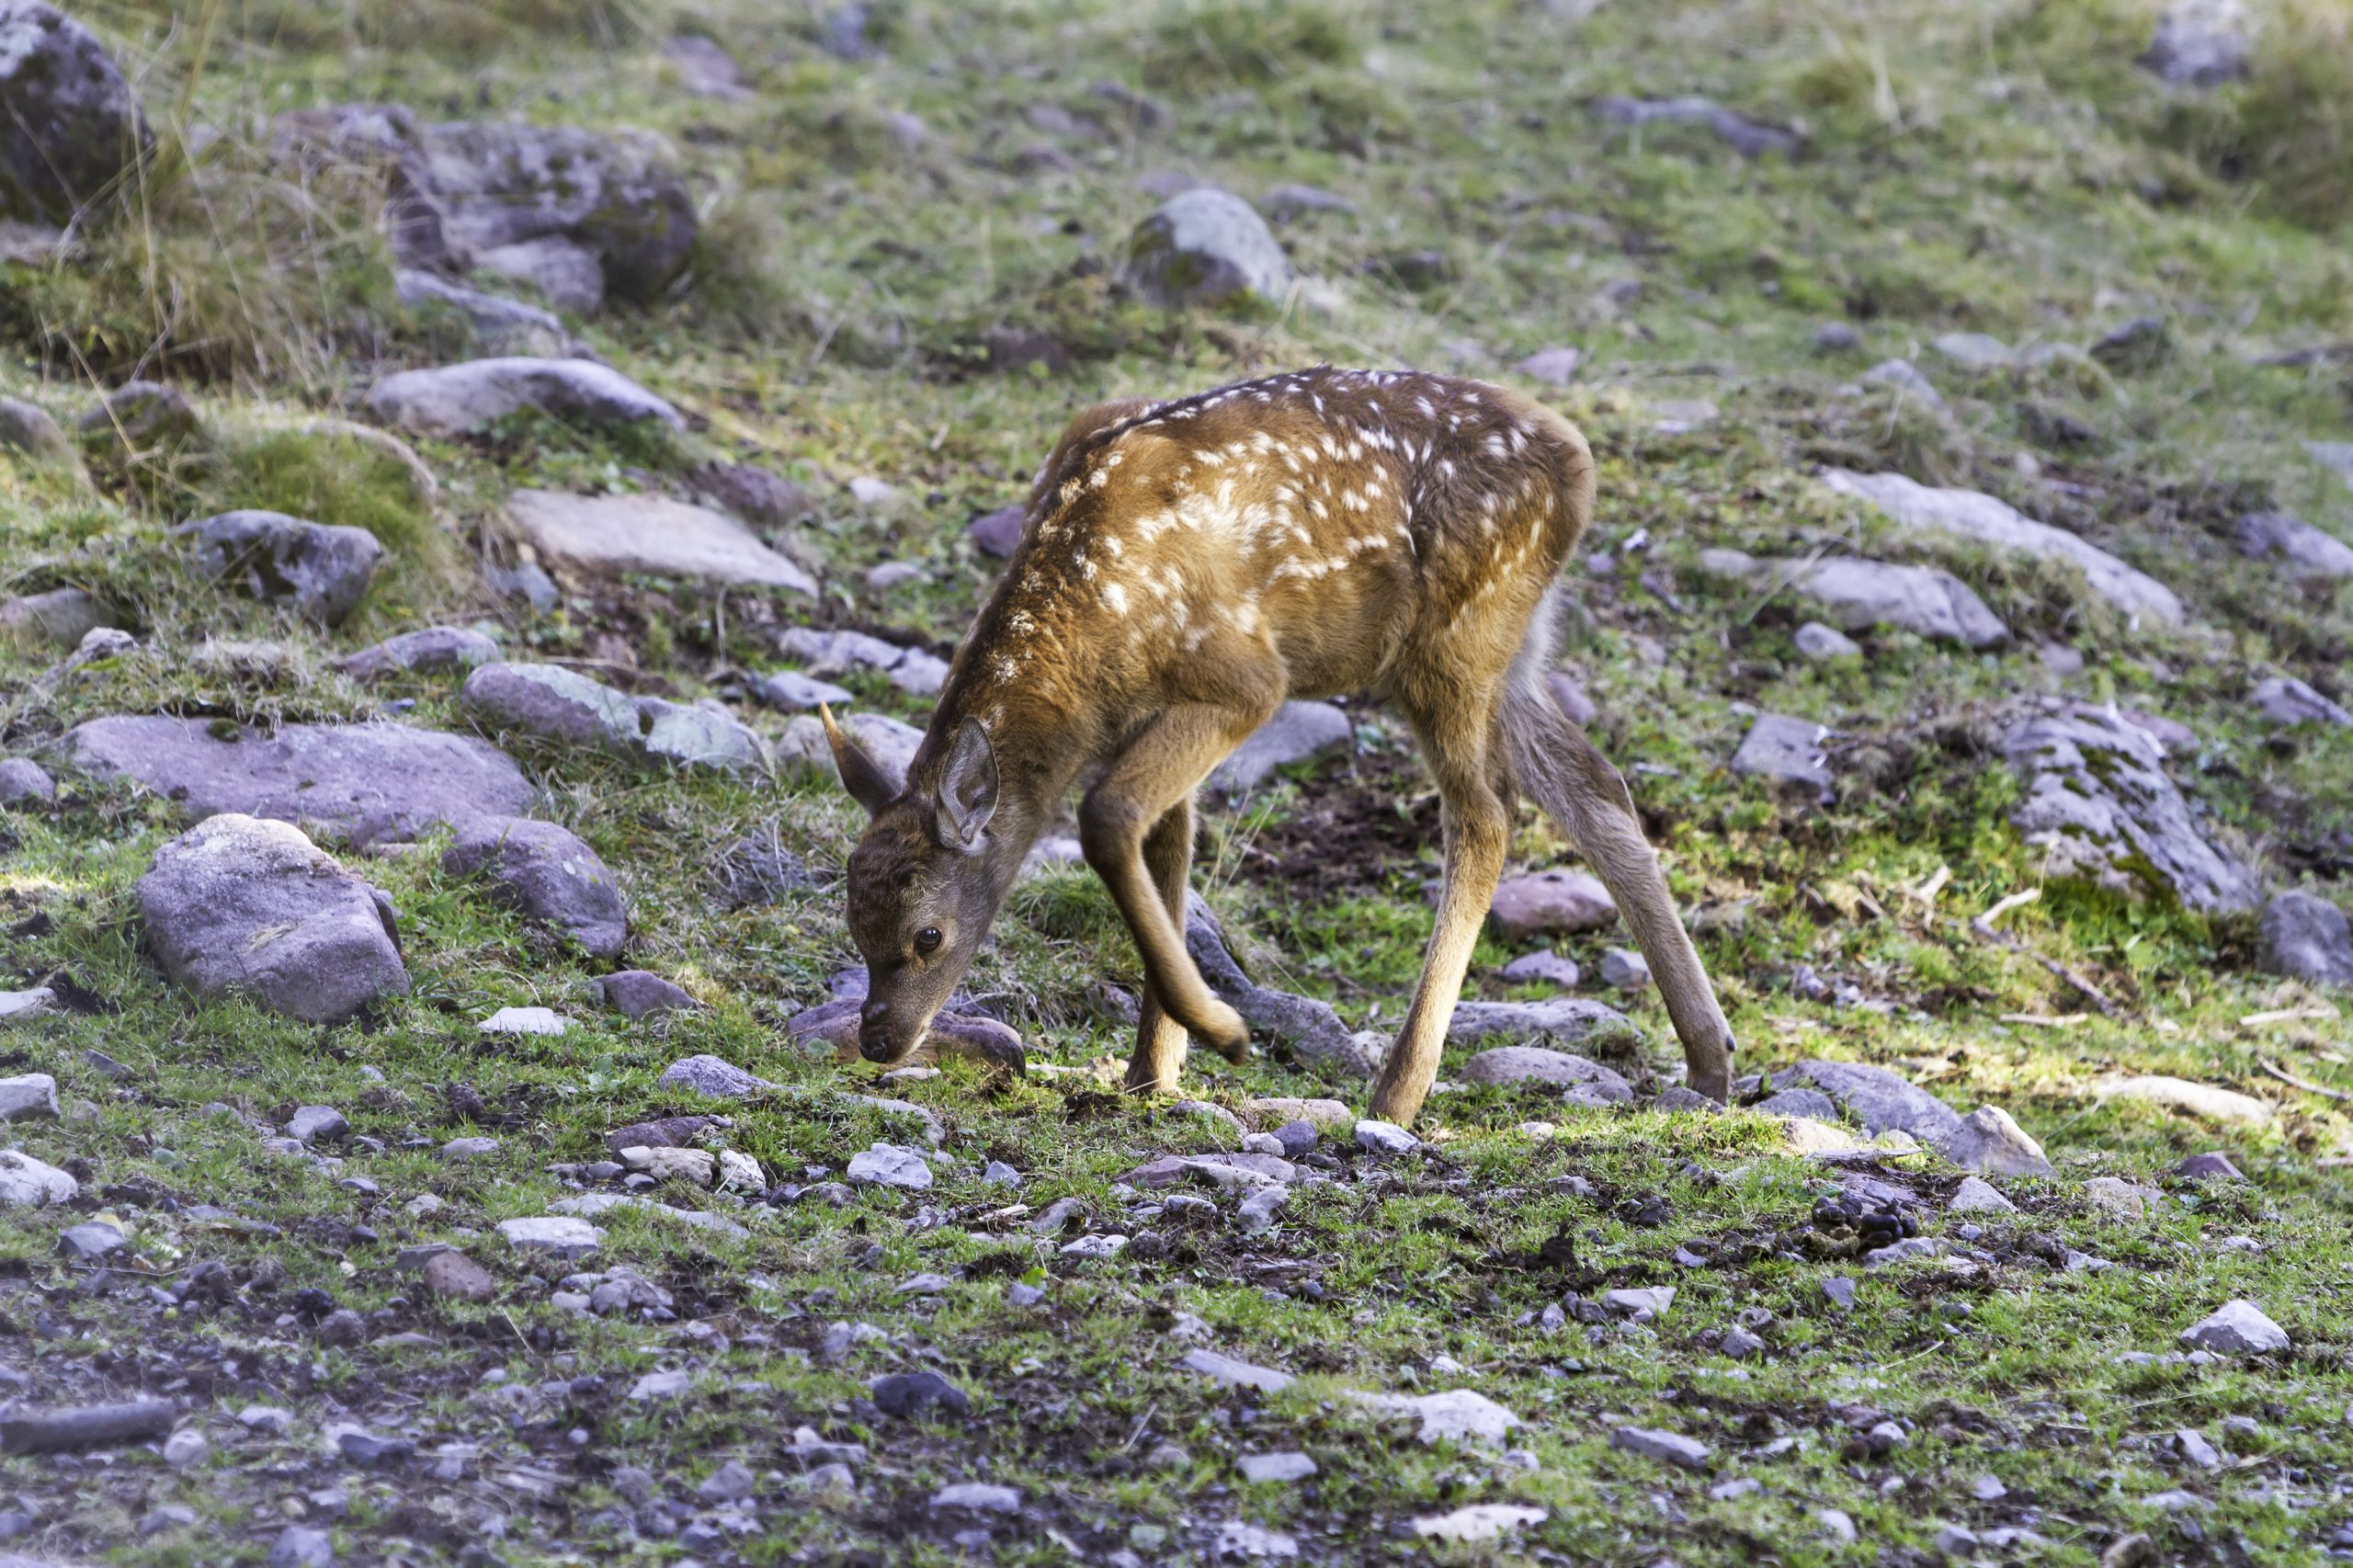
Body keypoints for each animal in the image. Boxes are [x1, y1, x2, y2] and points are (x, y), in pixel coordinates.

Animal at [824, 367, 1732, 1125]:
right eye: (853, 924)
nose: (878, 1040)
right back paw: (1710, 1061)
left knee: (1485, 817)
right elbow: (1163, 847)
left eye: (928, 935)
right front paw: (1153, 1072)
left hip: (1451, 643)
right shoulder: (1156, 715)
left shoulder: (1245, 678)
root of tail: (1578, 465)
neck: (1089, 652)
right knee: (1594, 784)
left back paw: (1398, 1091)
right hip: (1512, 647)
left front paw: (1219, 1033)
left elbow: (1106, 817)